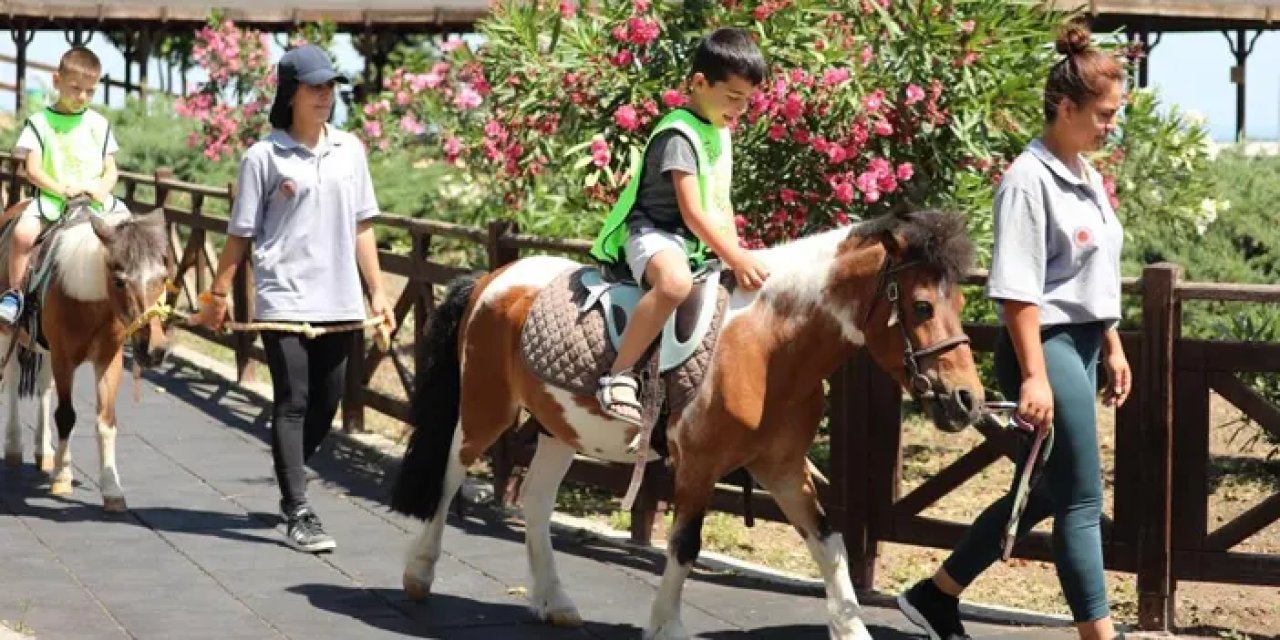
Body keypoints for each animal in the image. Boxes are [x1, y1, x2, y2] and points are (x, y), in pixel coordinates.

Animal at [0, 198, 172, 509]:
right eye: (119, 281)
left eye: (163, 277)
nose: (154, 349)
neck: (90, 301)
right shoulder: (64, 358)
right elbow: (66, 416)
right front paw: (62, 477)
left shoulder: (108, 360)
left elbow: (106, 421)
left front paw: (112, 488)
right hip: (9, 333)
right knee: (12, 379)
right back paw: (15, 446)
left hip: (45, 347)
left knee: (44, 387)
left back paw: (44, 452)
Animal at [384, 207, 983, 637]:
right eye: (923, 306)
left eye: (958, 303)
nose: (968, 399)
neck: (767, 344)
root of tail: (495, 275)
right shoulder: (698, 464)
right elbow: (684, 545)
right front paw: (666, 627)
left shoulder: (783, 468)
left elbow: (828, 542)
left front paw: (852, 630)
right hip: (486, 408)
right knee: (450, 474)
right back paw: (418, 574)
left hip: (558, 427)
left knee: (535, 501)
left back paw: (555, 602)